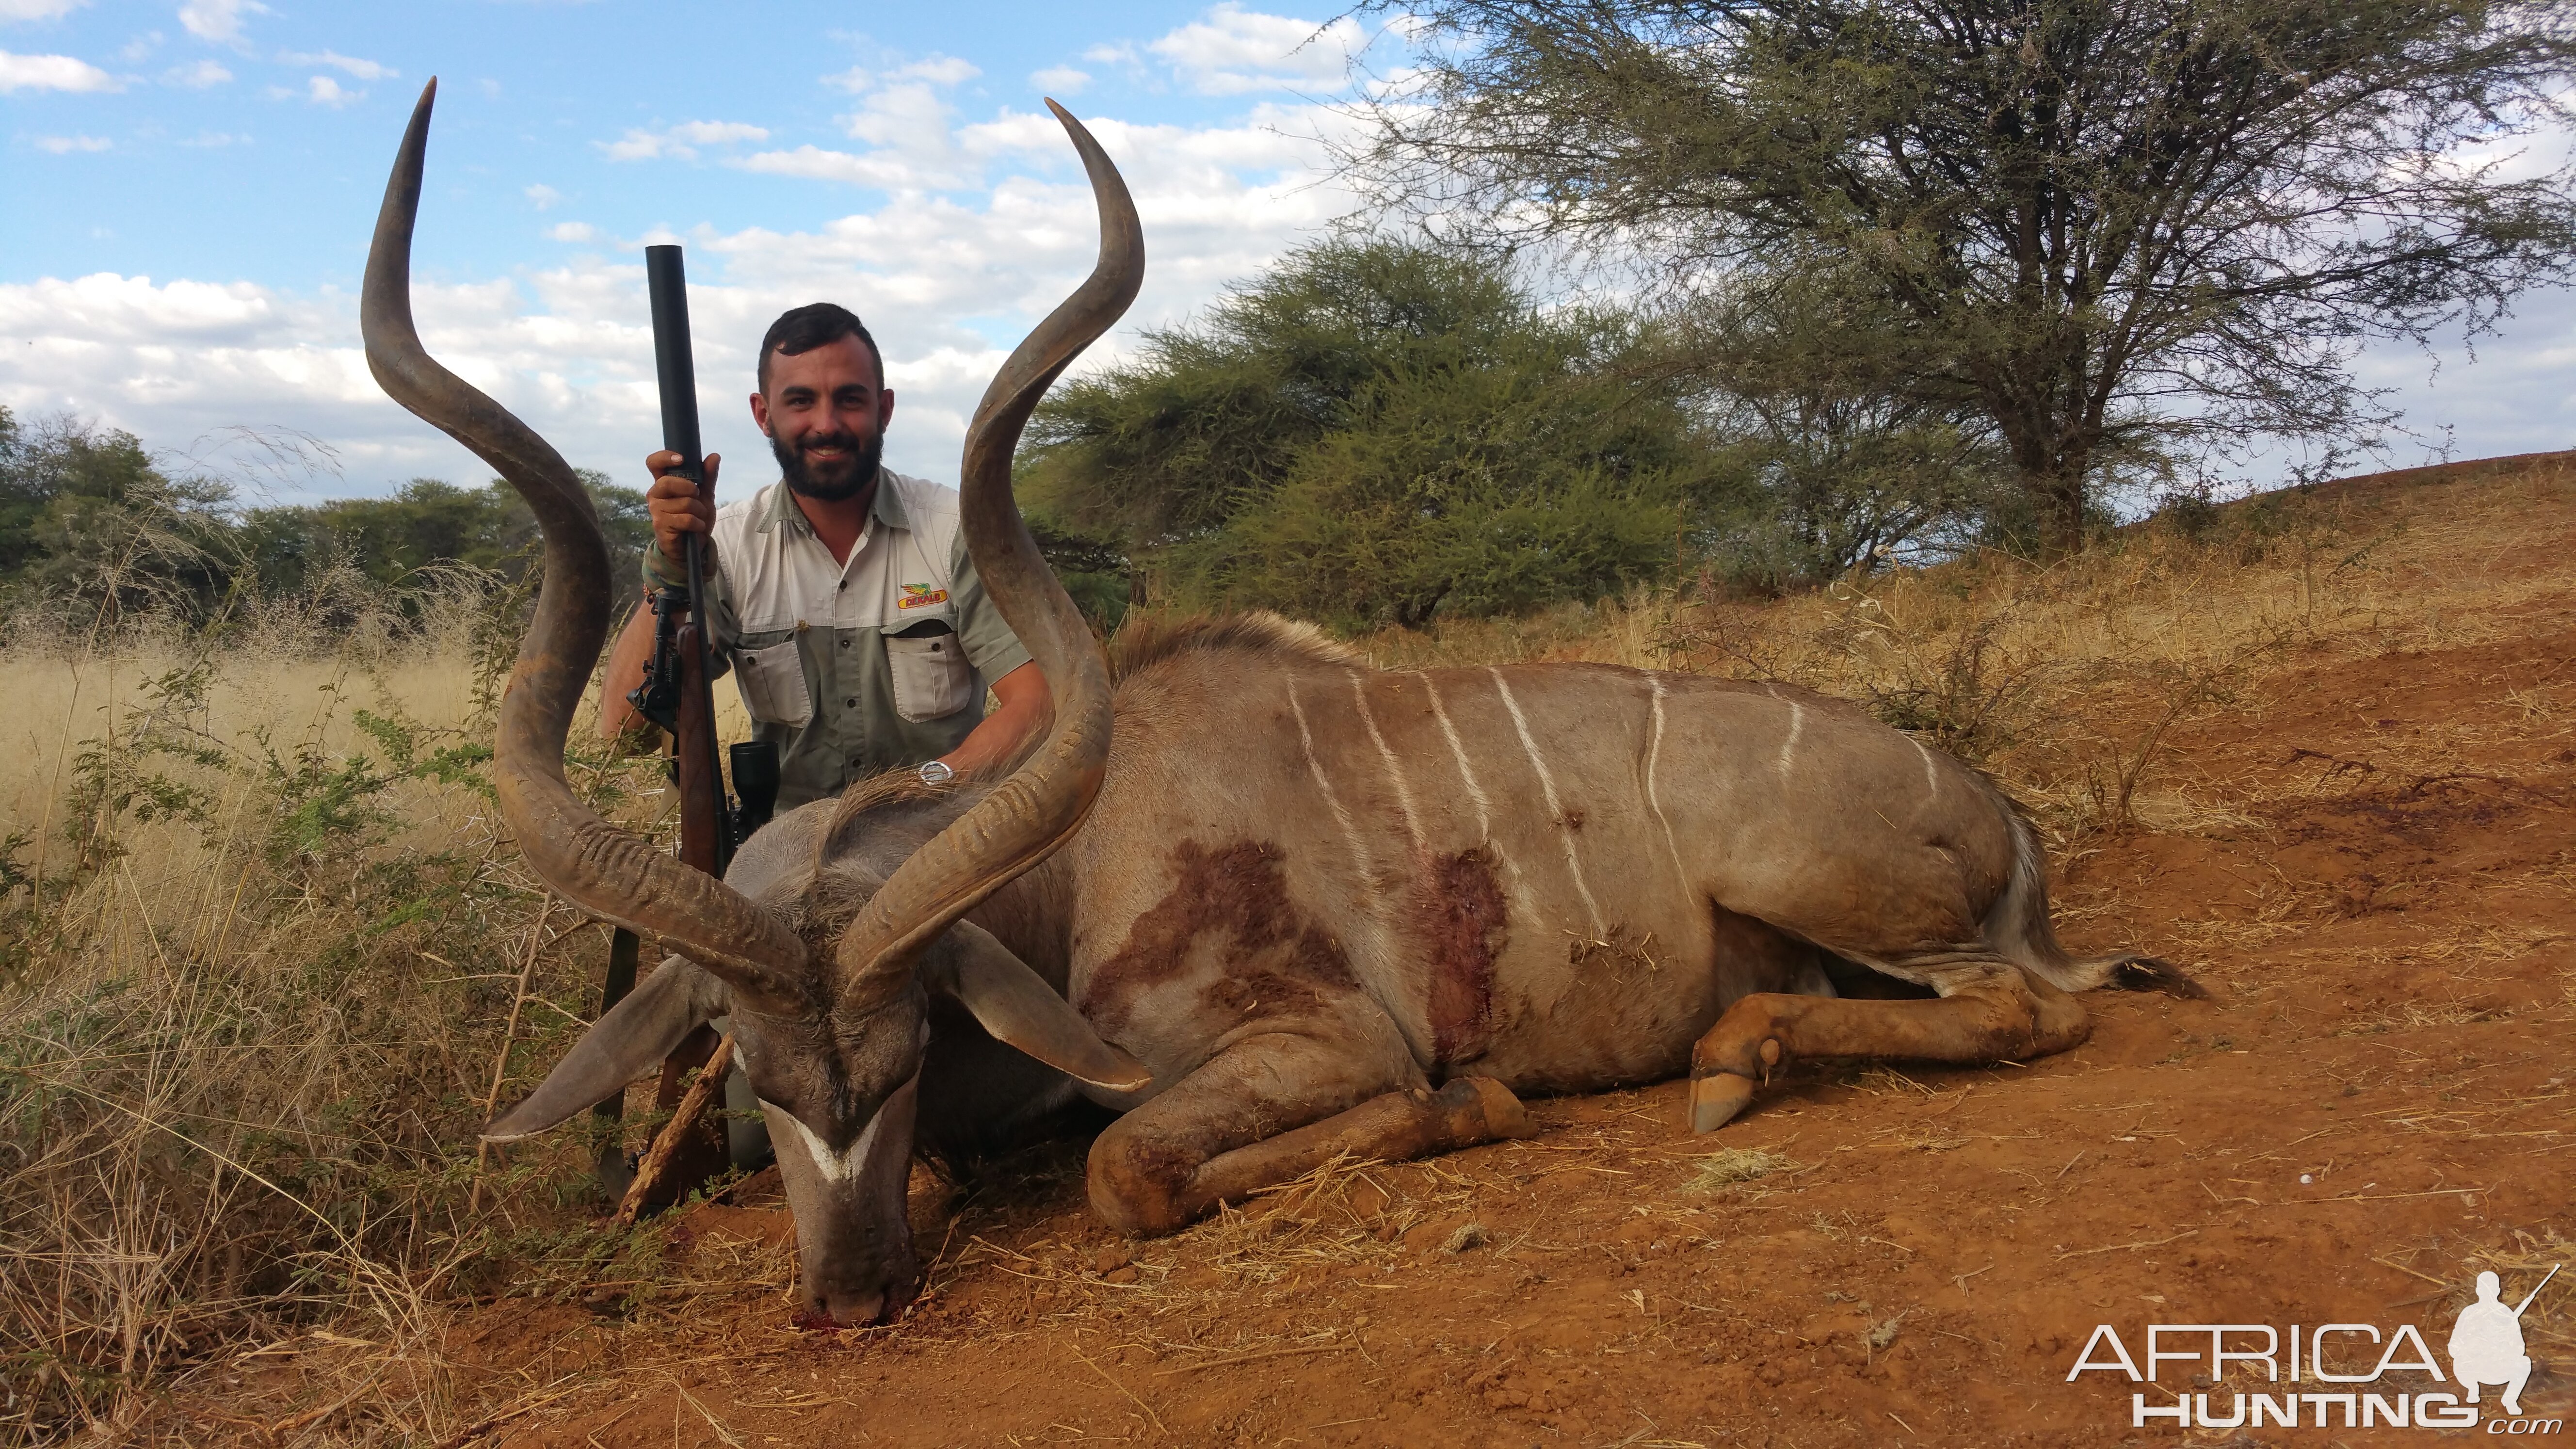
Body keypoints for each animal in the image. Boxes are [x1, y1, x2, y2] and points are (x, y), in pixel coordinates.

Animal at [368, 76, 2194, 1320]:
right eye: (749, 1071)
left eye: (890, 1062)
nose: (849, 1297)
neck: (1071, 874)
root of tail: (1992, 809)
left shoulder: (1318, 1036)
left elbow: (1131, 1162)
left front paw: (1472, 1098)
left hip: (1836, 889)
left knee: (2033, 1011)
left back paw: (1733, 1058)